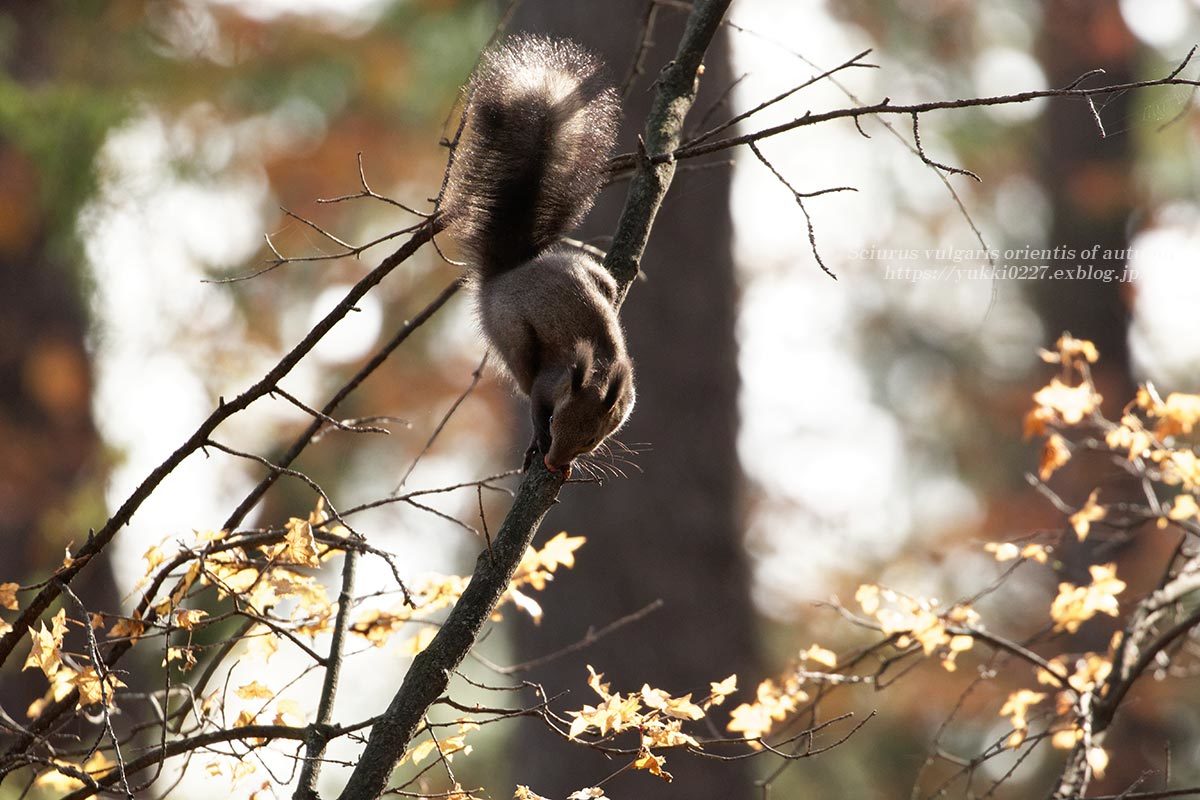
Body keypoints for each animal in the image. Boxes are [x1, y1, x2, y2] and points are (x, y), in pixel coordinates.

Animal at [444, 35, 638, 474]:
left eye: (591, 440)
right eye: (557, 420)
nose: (554, 462)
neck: (600, 371)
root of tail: (508, 272)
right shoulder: (548, 382)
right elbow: (534, 403)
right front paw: (537, 439)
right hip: (510, 334)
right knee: (520, 369)